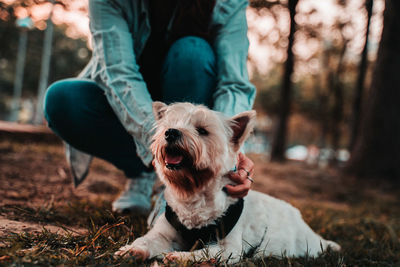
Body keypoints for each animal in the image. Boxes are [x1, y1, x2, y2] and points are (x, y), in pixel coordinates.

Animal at [114, 102, 340, 264]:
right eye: (171, 124)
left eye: (202, 130)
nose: (171, 132)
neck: (193, 195)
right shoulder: (163, 234)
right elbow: (146, 240)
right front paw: (131, 250)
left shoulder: (229, 248)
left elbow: (205, 252)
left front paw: (180, 257)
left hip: (304, 245)